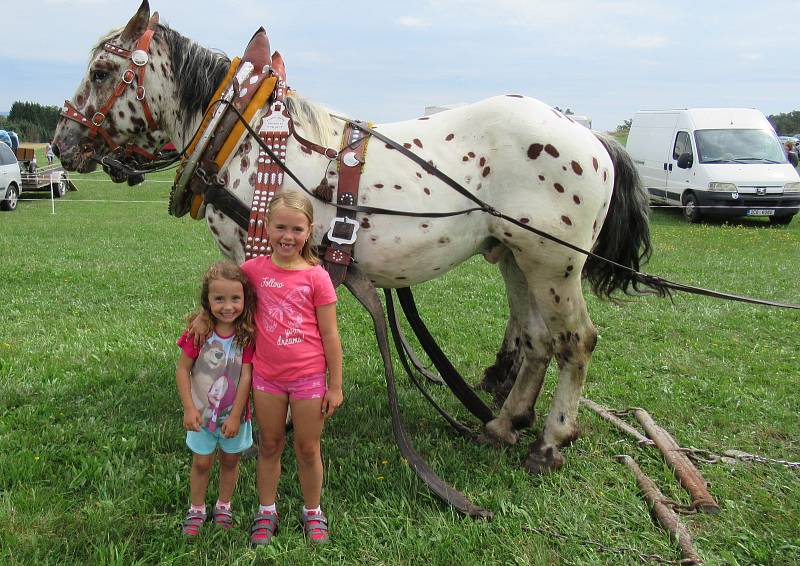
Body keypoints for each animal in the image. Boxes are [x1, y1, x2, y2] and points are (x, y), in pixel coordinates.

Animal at [53, 0, 668, 504]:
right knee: (538, 342)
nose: (61, 143)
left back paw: (550, 441)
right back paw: (501, 424)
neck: (243, 132)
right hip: (517, 258)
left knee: (576, 342)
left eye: (102, 71)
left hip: (554, 263)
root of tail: (589, 136)